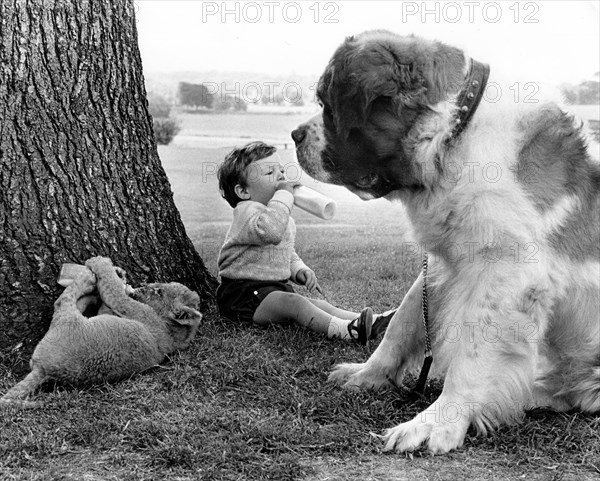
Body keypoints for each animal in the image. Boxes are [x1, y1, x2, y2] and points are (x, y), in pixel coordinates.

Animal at [292, 31, 600, 454]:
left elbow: (471, 354)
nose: (294, 135)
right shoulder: (444, 263)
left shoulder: (509, 274)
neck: (455, 137)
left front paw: (437, 421)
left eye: (327, 104)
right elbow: (404, 321)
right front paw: (370, 374)